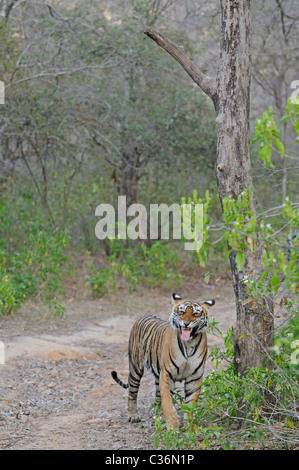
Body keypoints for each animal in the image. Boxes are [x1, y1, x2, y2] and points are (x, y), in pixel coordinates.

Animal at [112, 292, 216, 432]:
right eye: (181, 311)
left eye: (196, 313)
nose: (186, 323)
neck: (189, 344)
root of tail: (144, 315)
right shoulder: (167, 374)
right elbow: (167, 400)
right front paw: (172, 425)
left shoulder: (194, 376)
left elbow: (191, 404)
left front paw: (191, 427)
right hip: (135, 368)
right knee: (132, 393)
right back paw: (133, 416)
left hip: (157, 373)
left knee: (157, 397)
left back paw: (158, 417)